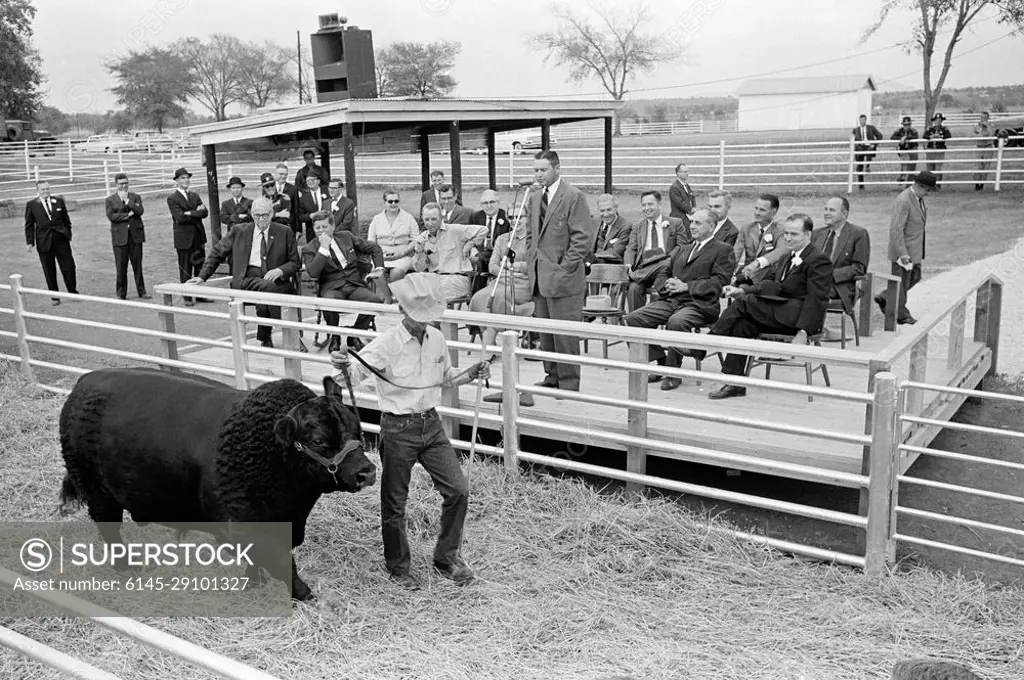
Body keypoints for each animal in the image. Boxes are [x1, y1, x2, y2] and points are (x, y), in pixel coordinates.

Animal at [57, 366, 376, 602]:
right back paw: (127, 566)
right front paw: (306, 595)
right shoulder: (245, 524)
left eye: (357, 429)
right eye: (319, 441)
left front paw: (254, 581)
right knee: (109, 529)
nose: (367, 471)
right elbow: (283, 562)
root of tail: (83, 383)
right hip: (96, 491)